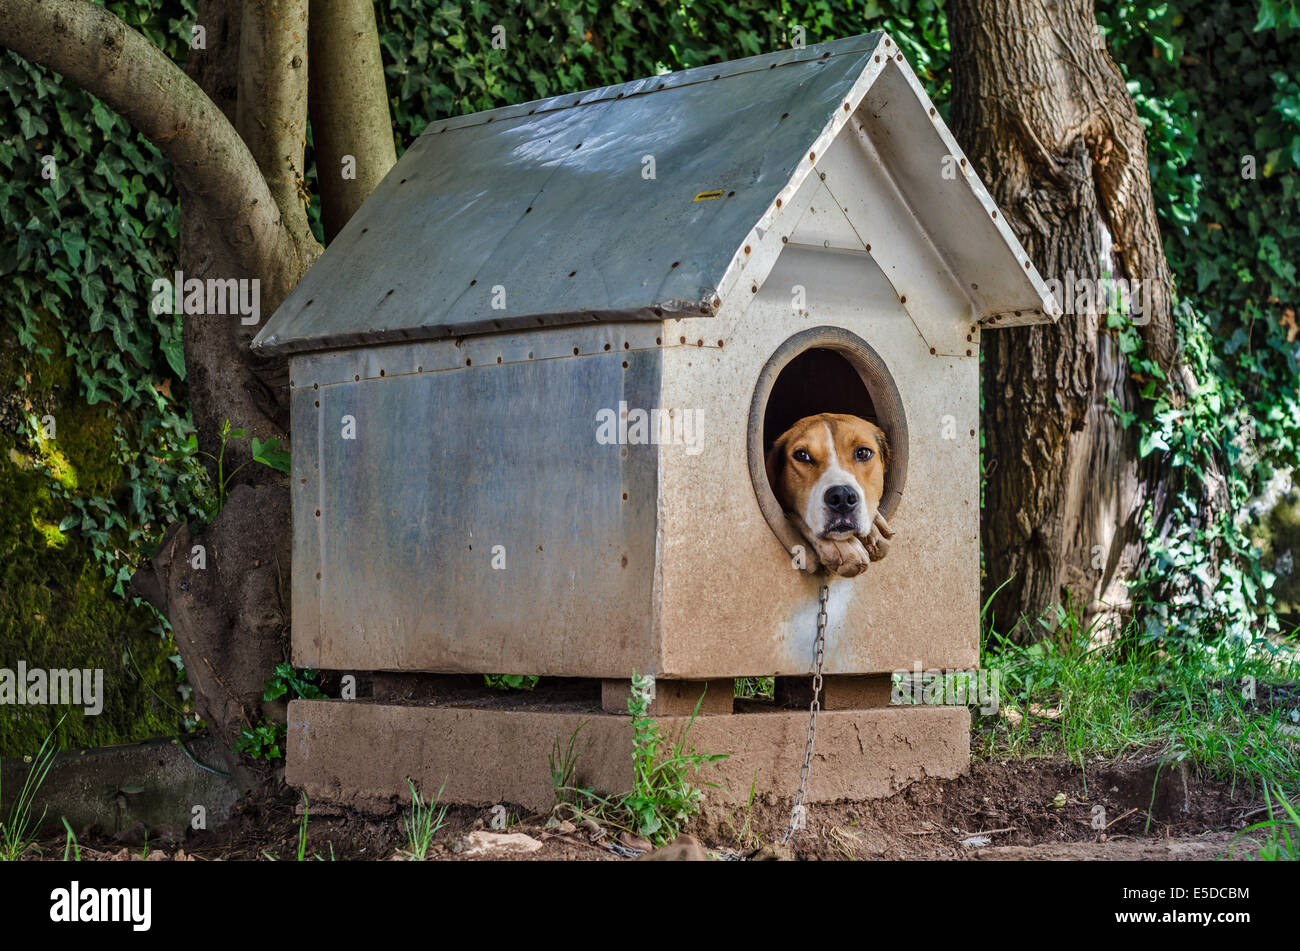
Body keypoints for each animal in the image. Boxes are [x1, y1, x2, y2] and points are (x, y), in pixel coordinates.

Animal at [759, 410, 894, 576]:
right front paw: (845, 547)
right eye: (802, 455)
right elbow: (796, 517)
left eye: (863, 453)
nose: (842, 497)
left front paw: (874, 526)